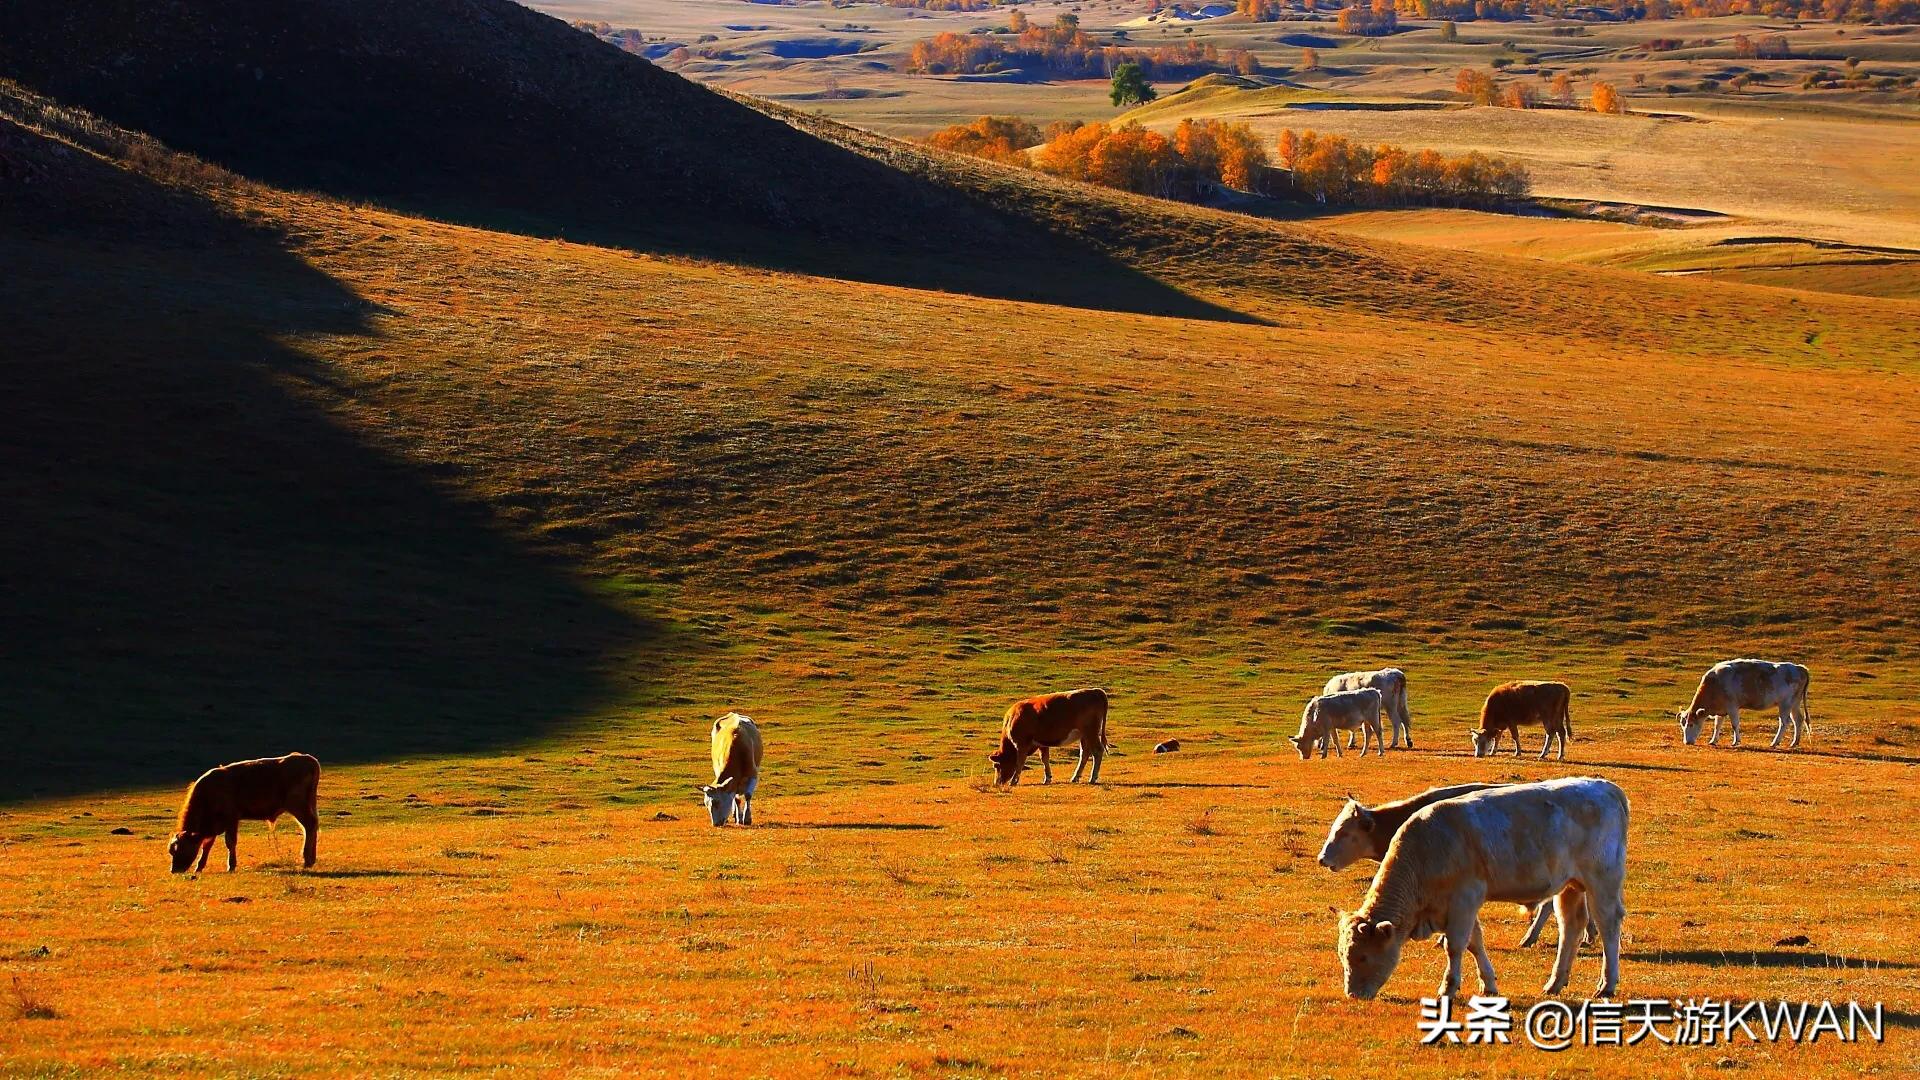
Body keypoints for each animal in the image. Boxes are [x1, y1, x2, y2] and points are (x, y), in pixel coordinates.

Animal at [167, 753, 320, 868]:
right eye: (171, 851)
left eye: (181, 849)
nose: (174, 870)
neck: (208, 792)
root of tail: (307, 758)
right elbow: (207, 845)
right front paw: (199, 867)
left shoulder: (231, 819)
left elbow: (230, 842)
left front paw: (231, 865)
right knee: (313, 826)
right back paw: (312, 859)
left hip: (297, 806)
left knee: (309, 825)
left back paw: (307, 860)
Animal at [1336, 772, 1635, 999]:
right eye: (1343, 956)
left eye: (1363, 957)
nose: (1353, 994)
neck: (1427, 850)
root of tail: (1605, 787)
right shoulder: (1461, 907)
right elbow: (1475, 943)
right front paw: (1488, 984)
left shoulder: (1464, 900)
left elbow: (1456, 945)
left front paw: (1448, 988)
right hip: (1570, 886)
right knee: (1571, 927)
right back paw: (1555, 982)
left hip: (1602, 881)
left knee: (1608, 925)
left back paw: (1607, 985)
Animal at [1681, 657, 1812, 749]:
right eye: (1682, 725)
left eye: (1691, 724)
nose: (1687, 742)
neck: (1715, 683)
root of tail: (1799, 668)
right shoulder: (1721, 710)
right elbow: (1717, 725)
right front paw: (1713, 741)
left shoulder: (1732, 707)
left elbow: (1735, 724)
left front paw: (1736, 741)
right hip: (1794, 703)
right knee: (1798, 720)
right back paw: (1794, 742)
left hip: (1785, 703)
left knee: (1784, 722)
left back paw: (1775, 742)